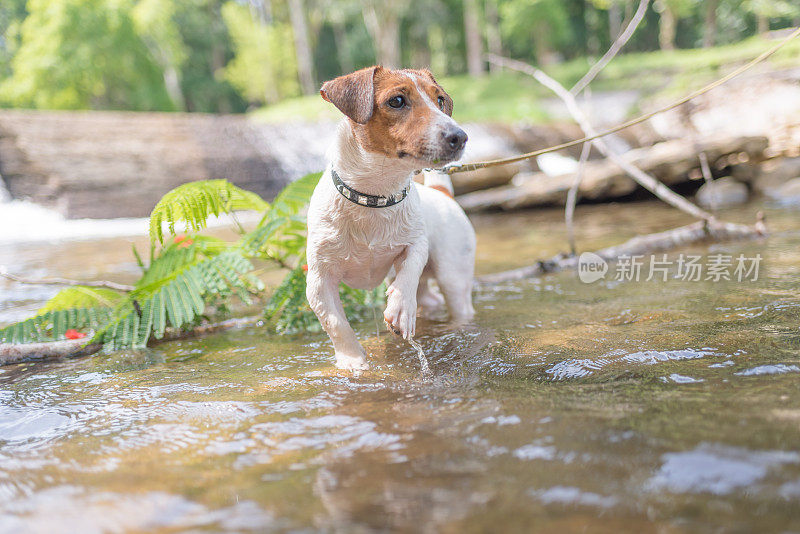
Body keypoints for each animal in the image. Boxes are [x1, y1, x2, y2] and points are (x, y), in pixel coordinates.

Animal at [304, 67, 476, 372]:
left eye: (440, 100)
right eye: (396, 101)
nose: (460, 136)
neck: (374, 198)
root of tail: (442, 193)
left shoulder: (416, 242)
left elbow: (409, 270)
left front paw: (401, 308)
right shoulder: (319, 280)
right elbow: (336, 323)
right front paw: (353, 361)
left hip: (453, 276)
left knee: (454, 300)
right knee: (428, 297)